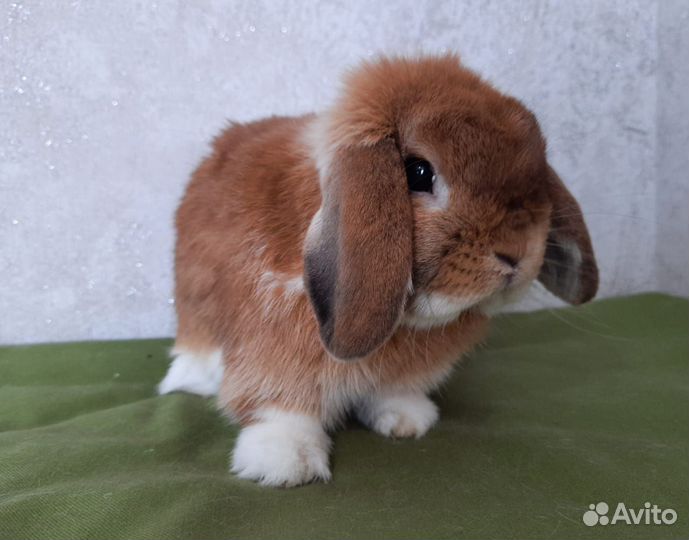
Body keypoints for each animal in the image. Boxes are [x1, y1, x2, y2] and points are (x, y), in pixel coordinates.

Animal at [158, 55, 598, 487]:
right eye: (419, 173)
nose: (516, 253)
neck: (403, 324)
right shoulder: (269, 357)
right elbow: (280, 408)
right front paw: (288, 462)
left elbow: (393, 393)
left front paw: (408, 421)